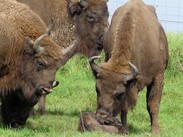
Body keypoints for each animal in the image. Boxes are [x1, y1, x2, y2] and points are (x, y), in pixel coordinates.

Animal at [89, 0, 168, 134]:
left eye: (119, 94)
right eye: (97, 89)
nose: (102, 117)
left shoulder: (158, 75)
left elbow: (153, 103)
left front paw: (155, 130)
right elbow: (124, 108)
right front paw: (125, 130)